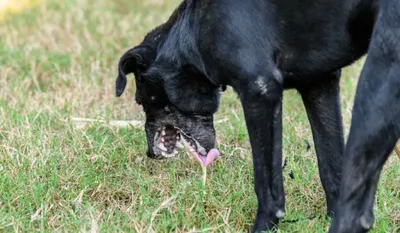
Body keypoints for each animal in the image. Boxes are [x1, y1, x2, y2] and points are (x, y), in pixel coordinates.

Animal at [115, 0, 396, 232]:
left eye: (141, 101)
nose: (149, 153)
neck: (190, 33)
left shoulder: (260, 91)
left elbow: (266, 182)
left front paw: (264, 226)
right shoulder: (320, 85)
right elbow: (332, 167)